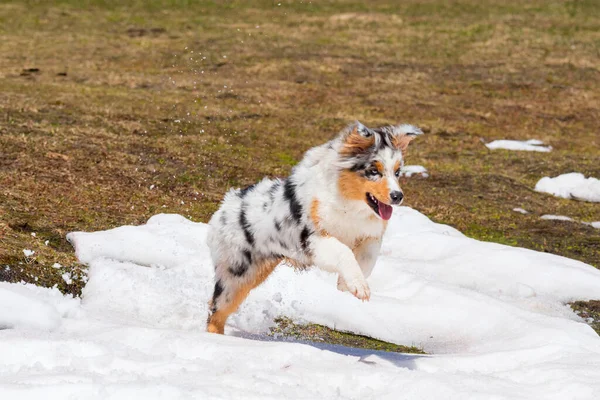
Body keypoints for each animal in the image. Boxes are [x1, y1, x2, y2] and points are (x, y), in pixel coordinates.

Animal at [206, 120, 422, 332]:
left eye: (397, 172)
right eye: (374, 171)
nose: (397, 196)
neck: (350, 204)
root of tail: (226, 204)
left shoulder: (369, 236)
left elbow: (366, 260)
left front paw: (347, 285)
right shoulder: (314, 238)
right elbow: (344, 251)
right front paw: (359, 287)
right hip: (237, 273)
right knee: (216, 312)